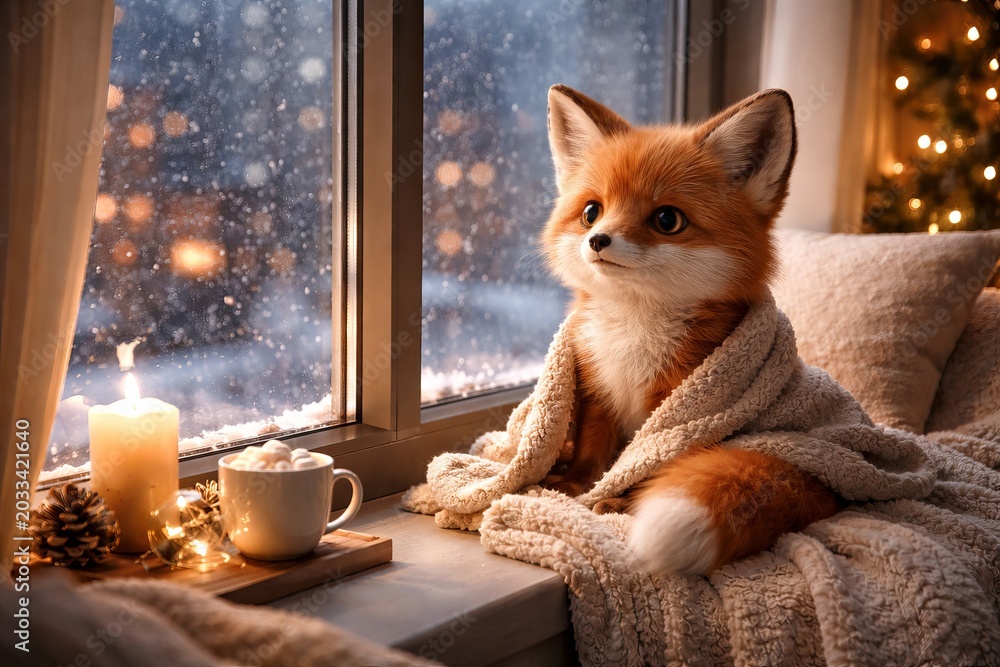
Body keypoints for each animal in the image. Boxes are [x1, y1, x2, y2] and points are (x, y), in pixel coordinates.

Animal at [539, 85, 839, 576]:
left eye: (667, 220)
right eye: (591, 212)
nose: (598, 241)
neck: (634, 331)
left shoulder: (681, 408)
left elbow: (642, 462)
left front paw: (616, 502)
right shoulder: (598, 390)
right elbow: (593, 453)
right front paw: (574, 486)